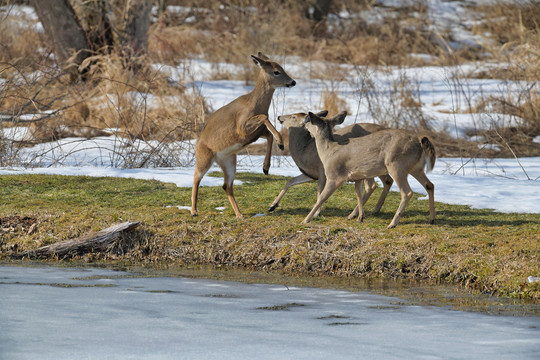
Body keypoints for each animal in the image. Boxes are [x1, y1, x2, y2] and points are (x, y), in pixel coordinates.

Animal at [191, 52, 296, 218]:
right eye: (276, 71)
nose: (292, 82)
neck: (255, 104)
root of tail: (198, 142)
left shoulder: (256, 133)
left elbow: (269, 134)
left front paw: (266, 167)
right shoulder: (241, 127)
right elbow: (264, 118)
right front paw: (280, 143)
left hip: (229, 160)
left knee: (226, 186)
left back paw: (239, 214)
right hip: (204, 157)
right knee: (196, 177)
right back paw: (194, 211)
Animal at [302, 111, 436, 228]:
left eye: (310, 122)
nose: (305, 125)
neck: (328, 151)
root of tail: (420, 142)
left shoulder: (334, 175)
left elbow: (321, 197)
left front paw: (306, 220)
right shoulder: (358, 176)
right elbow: (359, 193)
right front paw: (360, 217)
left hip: (396, 165)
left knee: (407, 192)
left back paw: (393, 223)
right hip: (416, 168)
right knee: (429, 185)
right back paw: (431, 219)